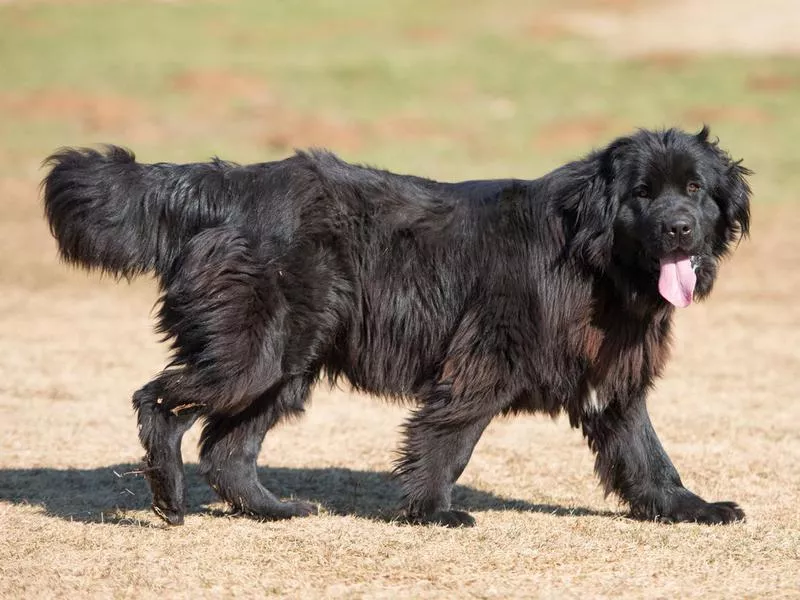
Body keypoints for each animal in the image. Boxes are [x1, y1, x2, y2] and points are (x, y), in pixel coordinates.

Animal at [40, 125, 752, 524]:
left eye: (694, 189)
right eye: (642, 193)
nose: (678, 229)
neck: (591, 251)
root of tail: (228, 186)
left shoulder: (611, 376)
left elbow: (646, 454)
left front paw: (689, 509)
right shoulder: (484, 358)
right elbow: (450, 437)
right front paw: (432, 512)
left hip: (287, 363)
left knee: (227, 449)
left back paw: (273, 510)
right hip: (254, 353)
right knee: (159, 402)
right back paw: (168, 496)